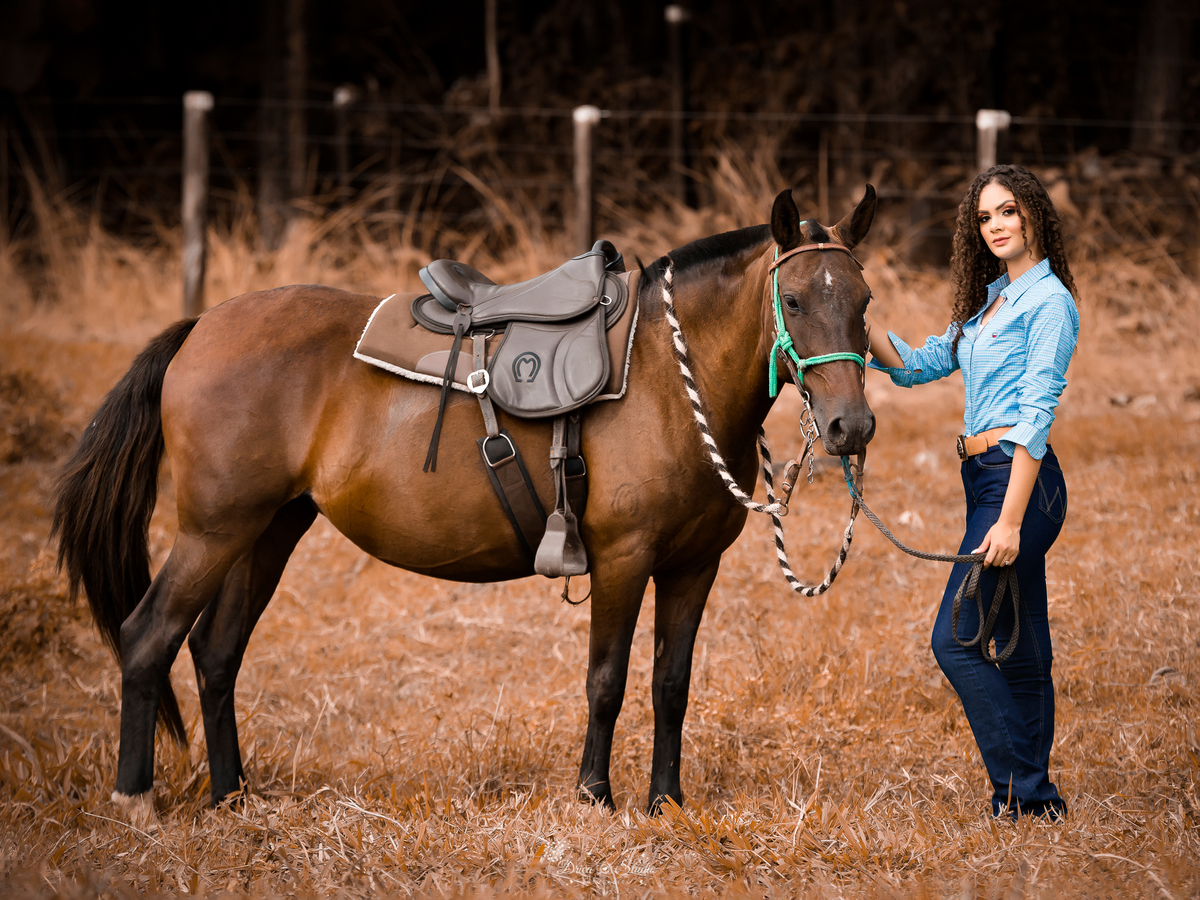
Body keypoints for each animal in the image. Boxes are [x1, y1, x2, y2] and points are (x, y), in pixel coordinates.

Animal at [52, 185, 878, 822]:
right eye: (794, 299)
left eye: (864, 303)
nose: (851, 427)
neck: (668, 379)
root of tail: (202, 326)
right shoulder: (623, 559)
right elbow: (607, 681)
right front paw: (595, 798)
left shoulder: (693, 567)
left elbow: (670, 686)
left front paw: (665, 803)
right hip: (212, 530)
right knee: (148, 636)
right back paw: (137, 802)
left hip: (267, 530)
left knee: (216, 652)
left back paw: (232, 796)